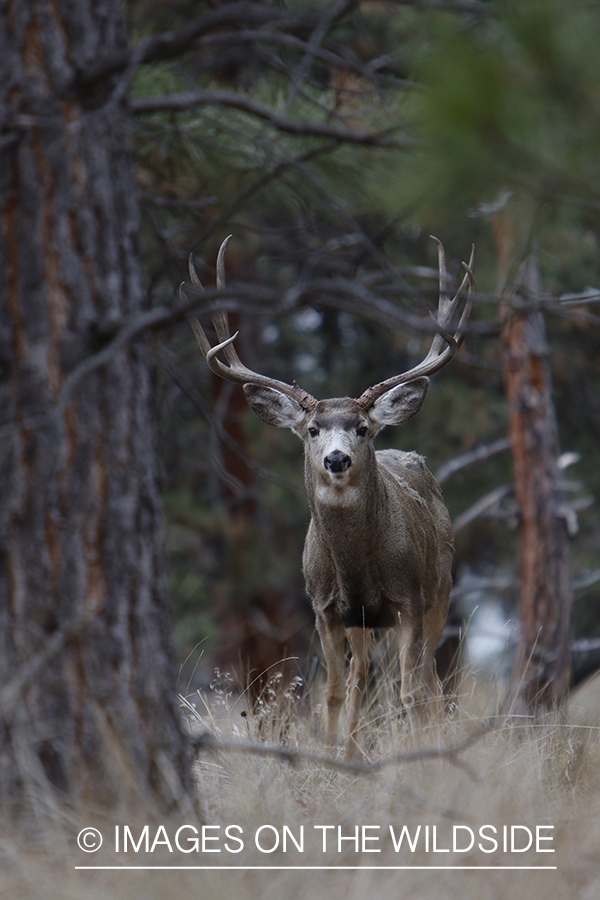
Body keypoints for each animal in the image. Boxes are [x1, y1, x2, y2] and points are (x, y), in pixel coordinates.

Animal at [188, 234, 474, 752]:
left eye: (361, 427)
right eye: (313, 429)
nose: (336, 459)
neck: (357, 566)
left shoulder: (409, 600)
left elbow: (408, 690)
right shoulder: (324, 606)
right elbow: (335, 692)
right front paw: (331, 749)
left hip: (440, 587)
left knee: (428, 681)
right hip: (363, 620)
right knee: (362, 675)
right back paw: (353, 743)